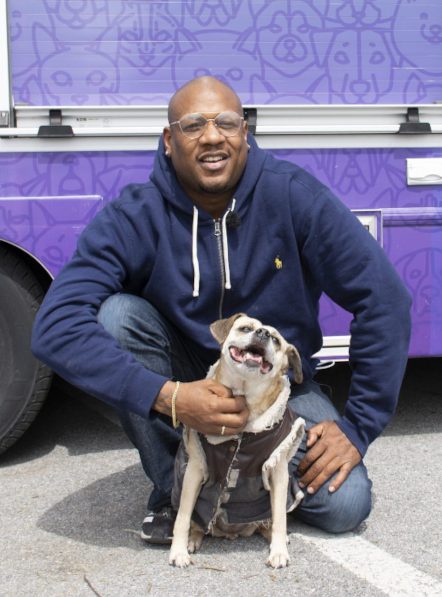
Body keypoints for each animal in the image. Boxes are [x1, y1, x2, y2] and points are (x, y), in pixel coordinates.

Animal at [167, 312, 306, 568]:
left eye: (276, 340)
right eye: (245, 328)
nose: (263, 333)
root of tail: (231, 532)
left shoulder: (278, 472)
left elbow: (280, 517)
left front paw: (279, 551)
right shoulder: (195, 470)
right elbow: (183, 516)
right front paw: (178, 550)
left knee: (270, 521)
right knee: (197, 523)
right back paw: (193, 539)